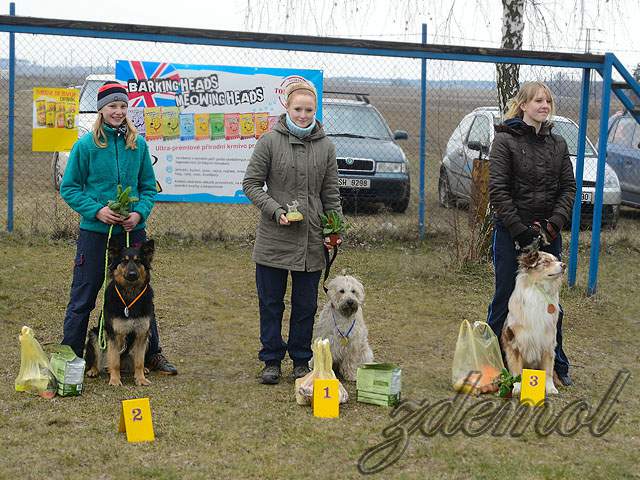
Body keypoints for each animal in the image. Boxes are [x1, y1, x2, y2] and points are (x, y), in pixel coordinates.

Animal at [85, 239, 156, 386]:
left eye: (138, 261)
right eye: (124, 261)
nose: (132, 274)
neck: (130, 294)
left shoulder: (142, 334)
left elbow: (139, 362)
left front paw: (140, 379)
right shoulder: (114, 335)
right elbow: (115, 361)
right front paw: (115, 380)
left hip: (148, 339)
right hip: (96, 335)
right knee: (97, 359)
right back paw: (94, 370)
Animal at [504, 249, 564, 396]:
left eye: (556, 259)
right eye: (546, 261)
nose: (564, 265)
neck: (539, 290)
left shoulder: (548, 343)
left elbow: (548, 371)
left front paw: (551, 388)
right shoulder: (515, 342)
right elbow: (516, 370)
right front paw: (517, 388)